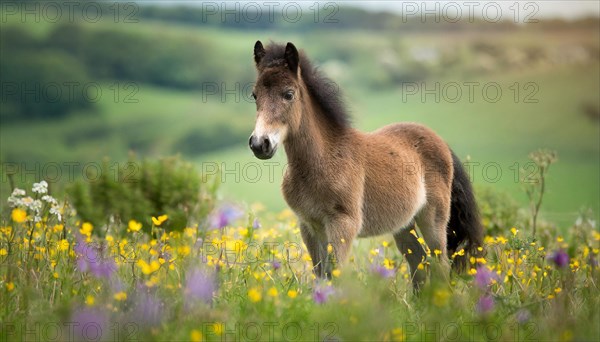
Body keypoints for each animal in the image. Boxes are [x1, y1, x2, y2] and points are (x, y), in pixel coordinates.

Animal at [247, 40, 482, 288]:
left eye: (289, 94)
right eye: (254, 95)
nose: (259, 143)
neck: (321, 161)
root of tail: (440, 141)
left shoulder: (343, 224)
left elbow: (337, 273)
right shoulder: (309, 226)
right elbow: (321, 275)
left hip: (433, 217)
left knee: (440, 264)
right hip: (403, 224)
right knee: (417, 261)